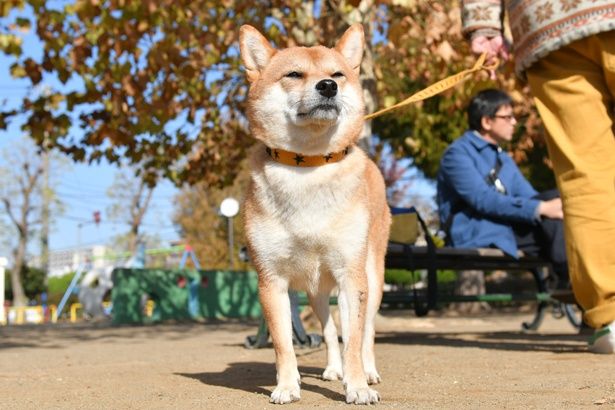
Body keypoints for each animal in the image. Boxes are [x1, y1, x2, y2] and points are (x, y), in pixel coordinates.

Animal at [239, 22, 390, 404]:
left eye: (337, 74)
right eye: (294, 74)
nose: (328, 86)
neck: (308, 164)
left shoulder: (352, 277)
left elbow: (354, 338)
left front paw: (357, 386)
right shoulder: (272, 281)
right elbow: (284, 344)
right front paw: (286, 386)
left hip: (371, 278)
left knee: (364, 331)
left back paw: (367, 371)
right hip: (316, 290)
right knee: (329, 328)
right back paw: (334, 368)